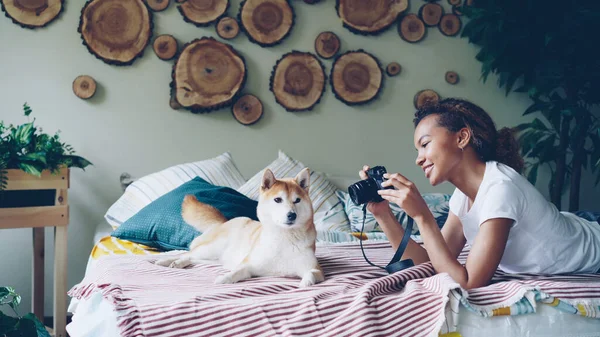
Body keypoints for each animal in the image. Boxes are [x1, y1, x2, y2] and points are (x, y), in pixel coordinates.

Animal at [152, 167, 326, 286]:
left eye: (297, 200)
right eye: (278, 200)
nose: (291, 215)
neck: (284, 238)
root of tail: (225, 222)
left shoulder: (316, 269)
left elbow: (311, 274)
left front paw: (305, 283)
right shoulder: (248, 265)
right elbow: (237, 272)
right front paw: (224, 278)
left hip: (214, 259)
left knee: (194, 259)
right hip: (212, 249)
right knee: (187, 254)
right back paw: (166, 261)